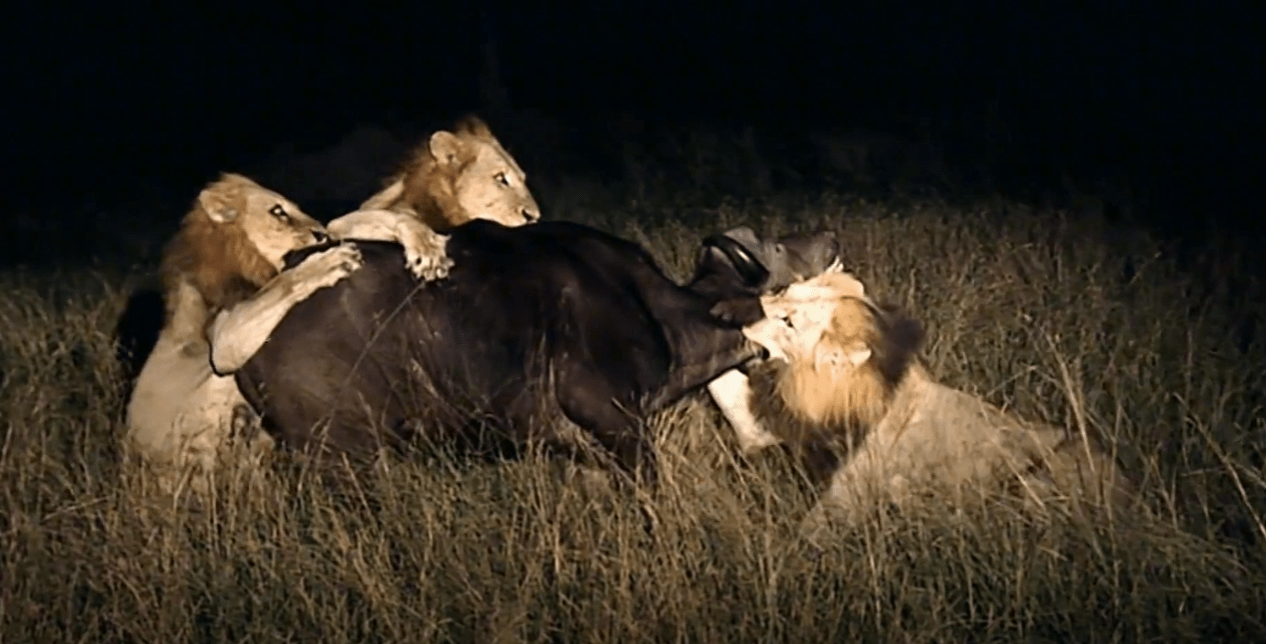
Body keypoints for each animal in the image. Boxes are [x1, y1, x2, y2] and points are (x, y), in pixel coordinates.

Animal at [734, 270, 1139, 536]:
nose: (741, 312)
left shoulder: (844, 499)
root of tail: (1129, 493)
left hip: (1038, 478)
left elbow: (800, 537)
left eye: (788, 322)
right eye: (785, 290)